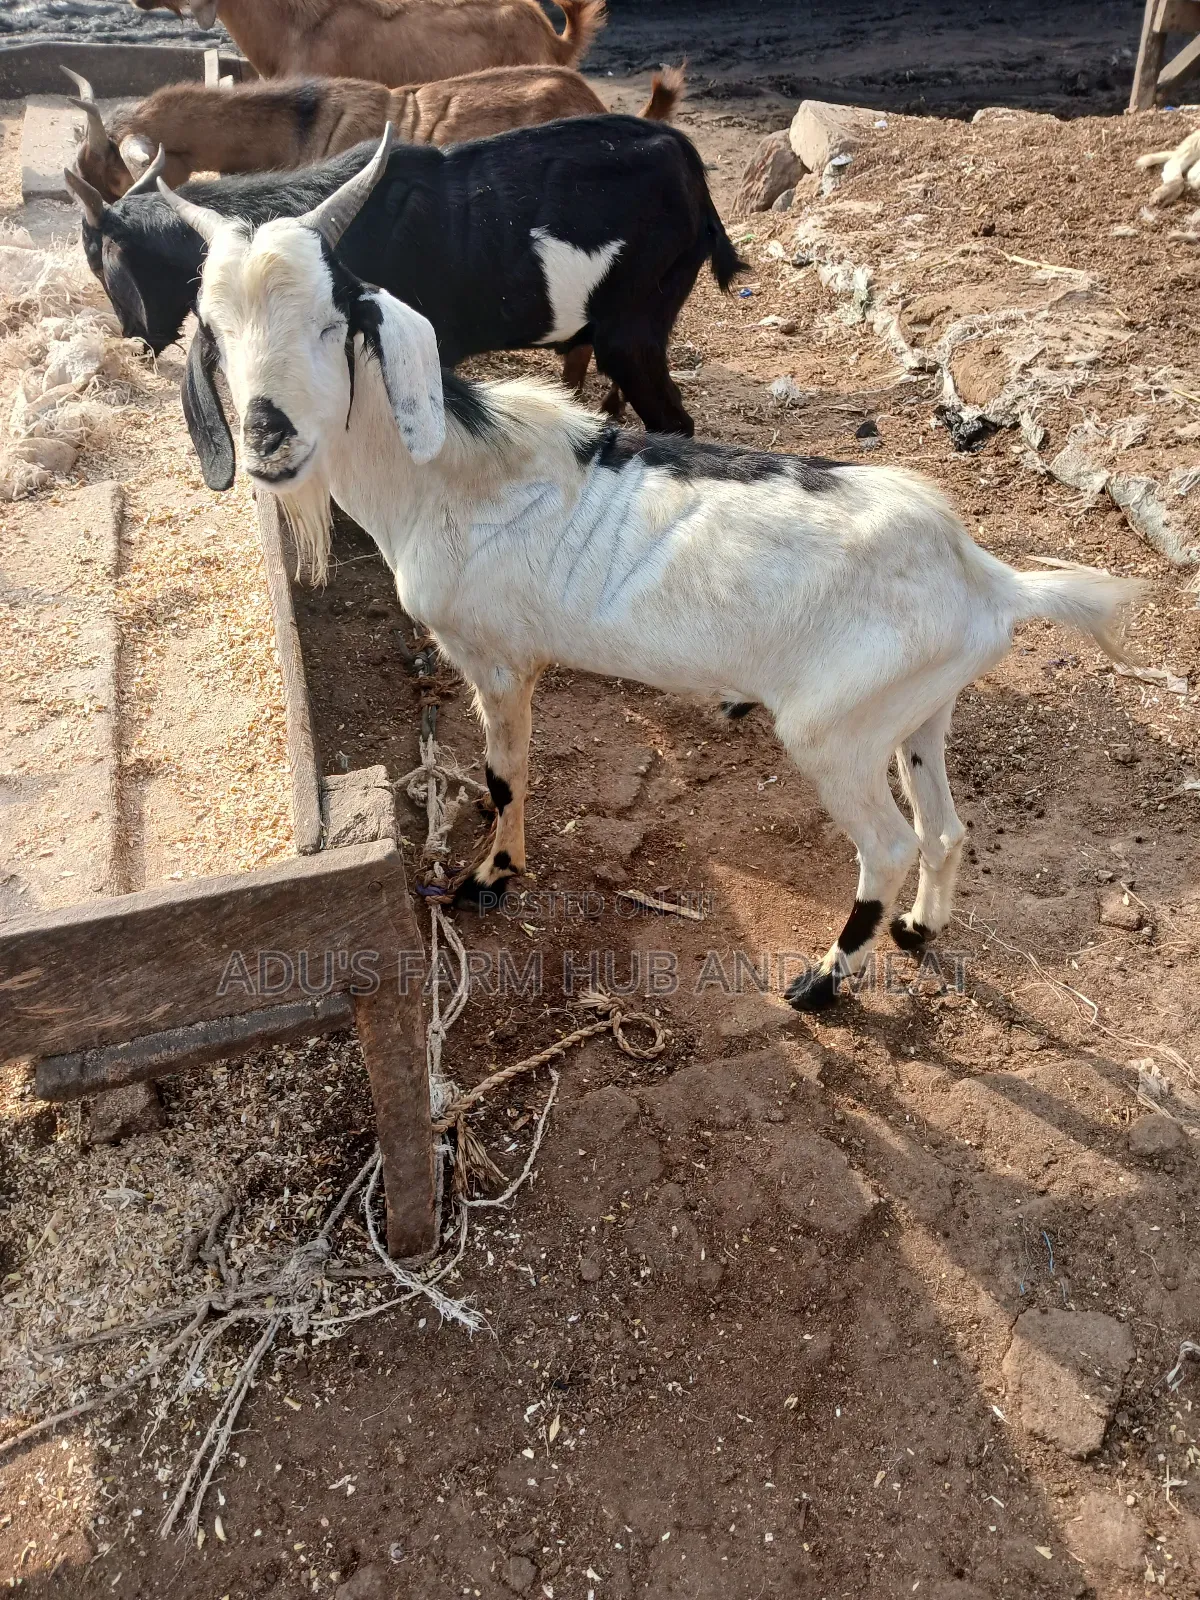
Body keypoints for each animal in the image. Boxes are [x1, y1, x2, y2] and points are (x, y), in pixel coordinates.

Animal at [158, 131, 1143, 1010]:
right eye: (215, 332)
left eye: (333, 320)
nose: (268, 435)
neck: (444, 475)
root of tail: (985, 580)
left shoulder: (498, 659)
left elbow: (505, 774)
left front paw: (492, 874)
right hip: (917, 714)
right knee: (944, 829)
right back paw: (915, 932)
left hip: (837, 732)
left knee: (892, 846)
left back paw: (824, 982)